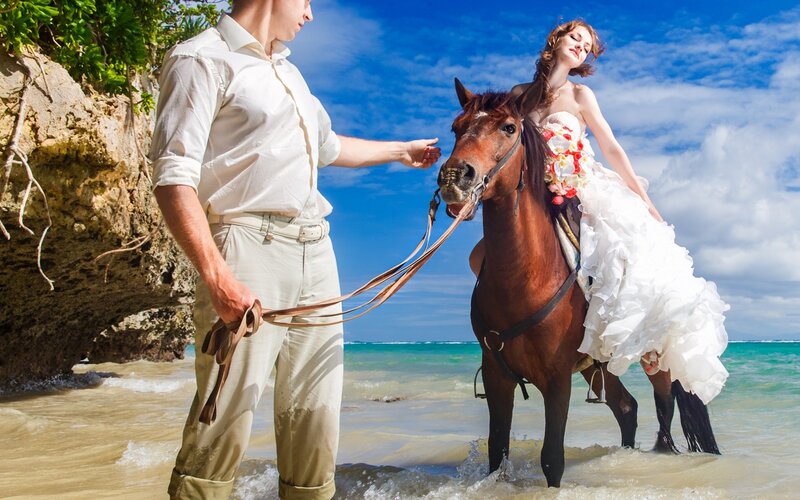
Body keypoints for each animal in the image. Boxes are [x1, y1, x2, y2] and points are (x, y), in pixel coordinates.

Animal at [436, 78, 719, 487]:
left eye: (508, 127)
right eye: (456, 128)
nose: (455, 177)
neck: (523, 277)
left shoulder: (556, 378)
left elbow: (552, 458)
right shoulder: (496, 374)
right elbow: (496, 450)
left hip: (655, 359)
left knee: (663, 408)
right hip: (594, 363)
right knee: (626, 407)